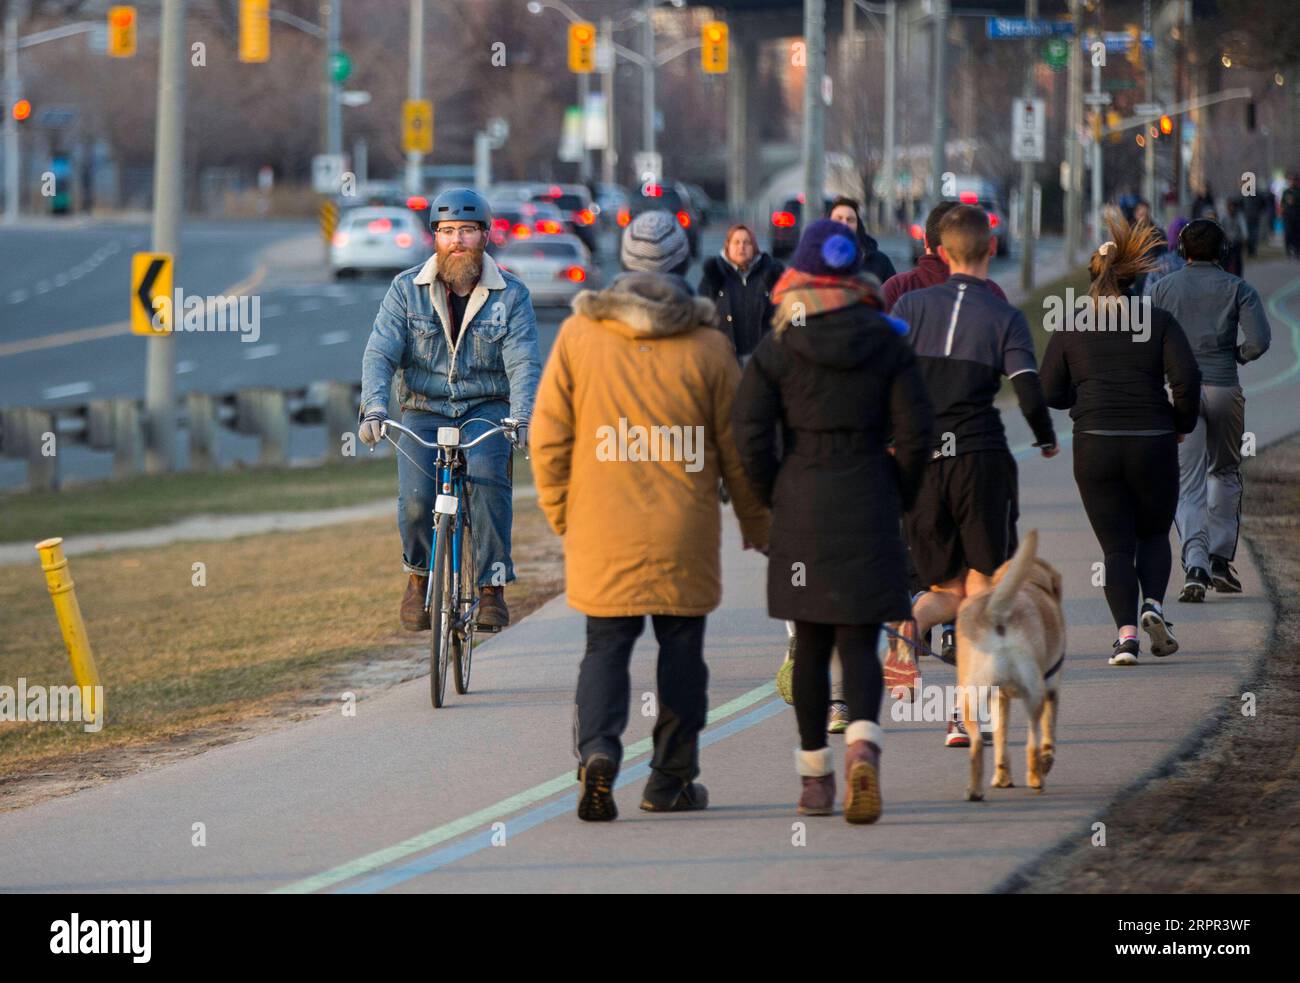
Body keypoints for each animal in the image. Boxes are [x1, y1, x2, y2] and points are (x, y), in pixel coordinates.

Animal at [956, 530, 1066, 800]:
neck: (1031, 582)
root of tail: (996, 612)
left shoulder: (999, 698)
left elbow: (1000, 739)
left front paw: (1002, 777)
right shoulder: (1052, 689)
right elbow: (1049, 735)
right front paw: (1046, 762)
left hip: (970, 698)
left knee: (978, 744)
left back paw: (975, 791)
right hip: (1036, 694)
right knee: (1033, 740)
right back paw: (1037, 778)